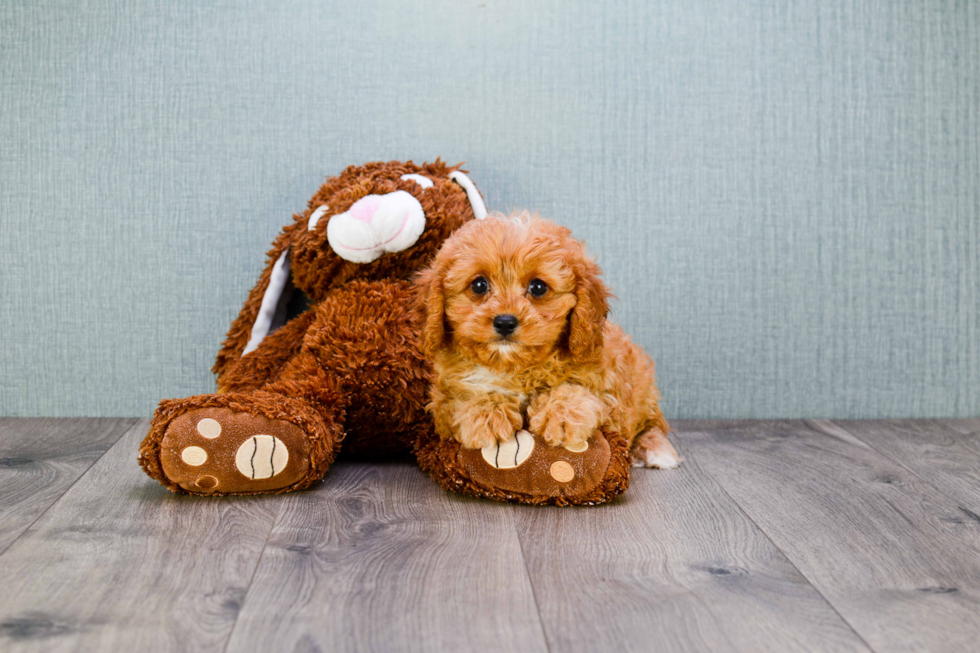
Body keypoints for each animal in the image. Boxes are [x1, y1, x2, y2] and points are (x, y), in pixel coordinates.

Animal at [416, 210, 680, 468]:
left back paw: (656, 450)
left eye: (538, 287)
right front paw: (487, 413)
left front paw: (561, 414)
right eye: (479, 285)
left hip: (645, 390)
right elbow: (462, 395)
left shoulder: (610, 389)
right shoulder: (442, 402)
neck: (515, 368)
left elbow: (583, 393)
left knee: (652, 425)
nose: (505, 321)